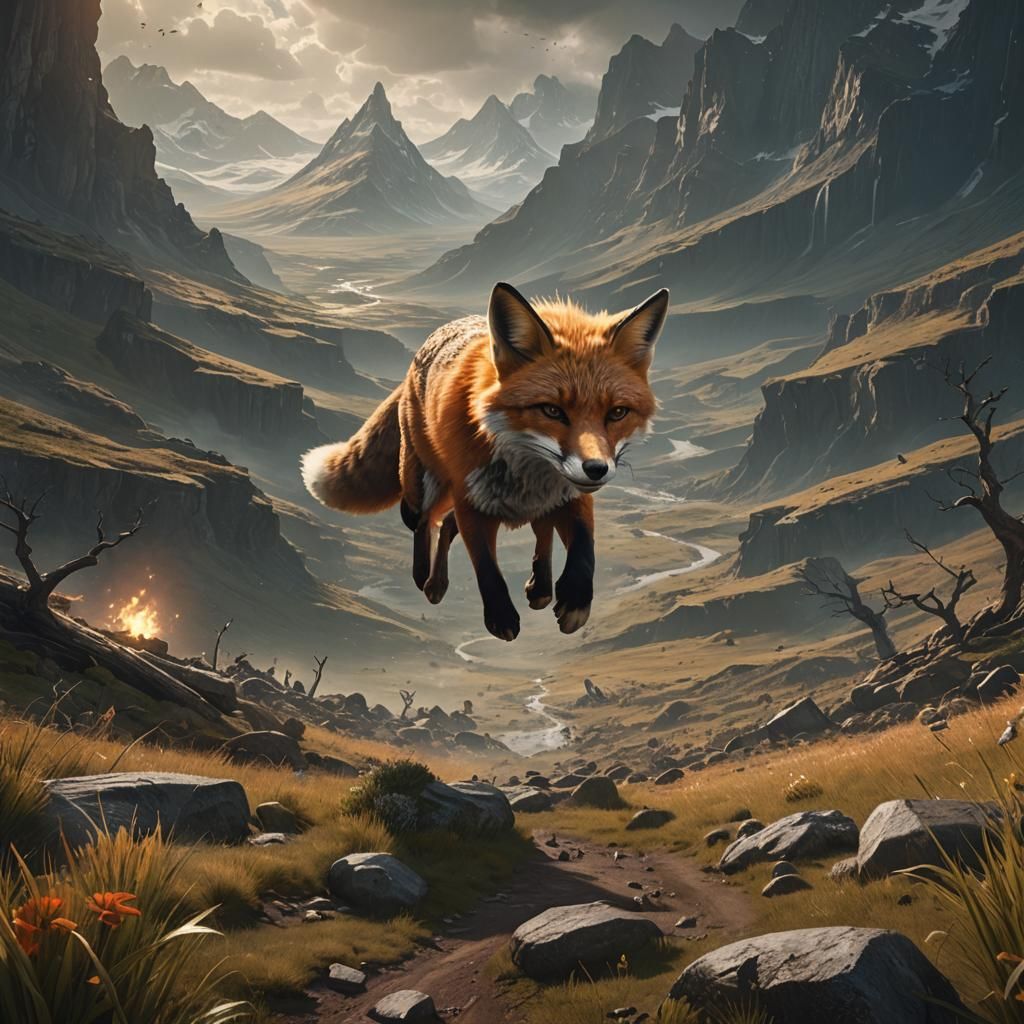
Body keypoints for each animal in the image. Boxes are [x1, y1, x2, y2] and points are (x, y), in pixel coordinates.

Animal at [301, 282, 669, 642]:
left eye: (617, 413)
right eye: (552, 410)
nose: (596, 469)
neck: (524, 468)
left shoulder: (571, 495)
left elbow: (583, 546)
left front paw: (576, 599)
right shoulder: (472, 502)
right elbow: (486, 566)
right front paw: (500, 616)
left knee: (524, 528)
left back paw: (538, 586)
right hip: (427, 485)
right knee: (425, 522)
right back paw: (427, 579)